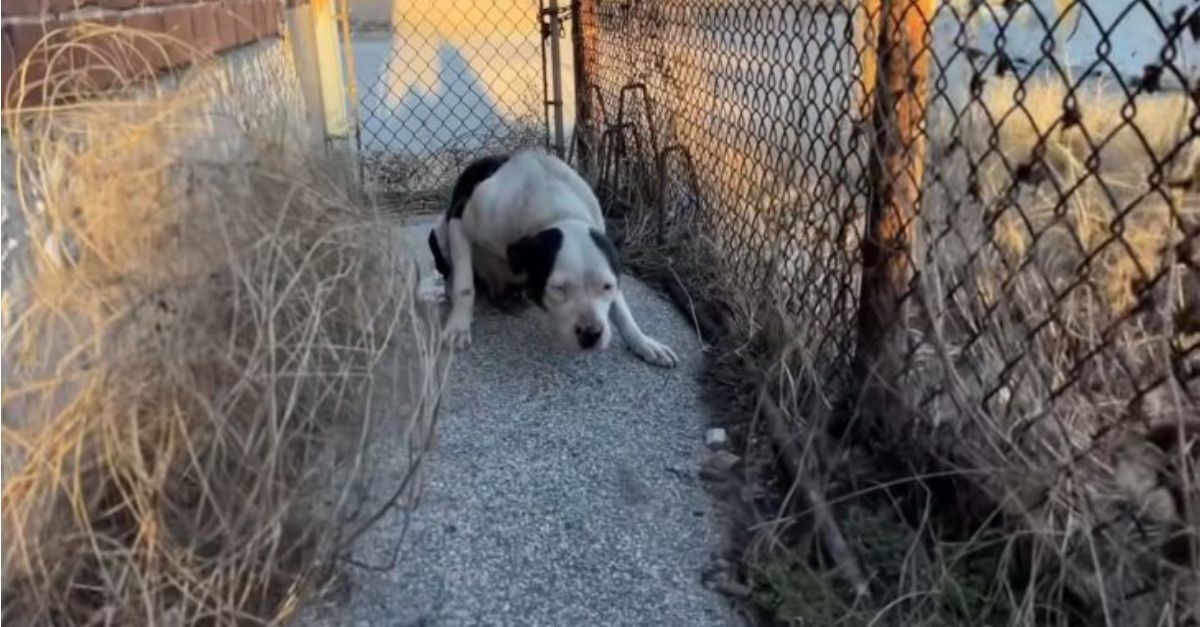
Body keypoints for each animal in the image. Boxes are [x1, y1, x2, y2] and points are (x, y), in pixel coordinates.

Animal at [427, 148, 681, 367]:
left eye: (607, 286)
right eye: (559, 288)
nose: (591, 333)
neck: (559, 211)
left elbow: (622, 310)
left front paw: (642, 341)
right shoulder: (460, 225)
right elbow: (465, 286)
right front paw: (459, 327)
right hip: (439, 233)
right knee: (453, 272)